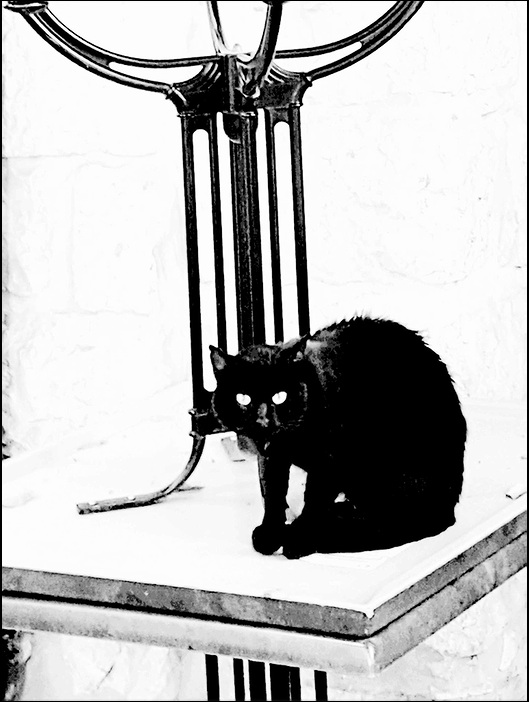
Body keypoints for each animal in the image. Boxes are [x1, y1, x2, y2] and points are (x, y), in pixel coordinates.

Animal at [209, 316, 467, 559]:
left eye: (280, 396)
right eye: (243, 398)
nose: (263, 420)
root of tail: (447, 509)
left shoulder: (330, 462)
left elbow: (313, 501)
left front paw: (299, 538)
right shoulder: (271, 457)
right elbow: (272, 492)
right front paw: (271, 532)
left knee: (386, 523)